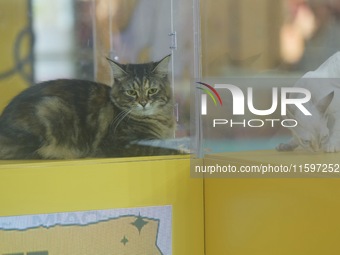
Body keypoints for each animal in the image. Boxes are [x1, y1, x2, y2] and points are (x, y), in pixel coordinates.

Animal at [0, 55, 181, 159]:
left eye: (152, 90)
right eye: (131, 92)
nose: (143, 103)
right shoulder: (124, 144)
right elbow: (160, 148)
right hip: (51, 108)